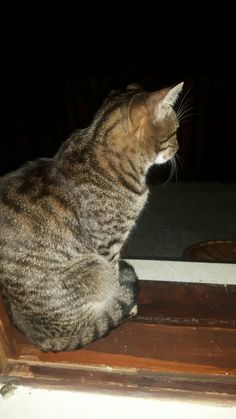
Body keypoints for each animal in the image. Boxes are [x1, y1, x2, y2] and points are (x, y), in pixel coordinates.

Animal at [0, 80, 183, 352]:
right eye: (174, 133)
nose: (178, 147)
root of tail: (40, 338)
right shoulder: (109, 246)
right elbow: (115, 276)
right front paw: (123, 302)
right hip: (93, 265)